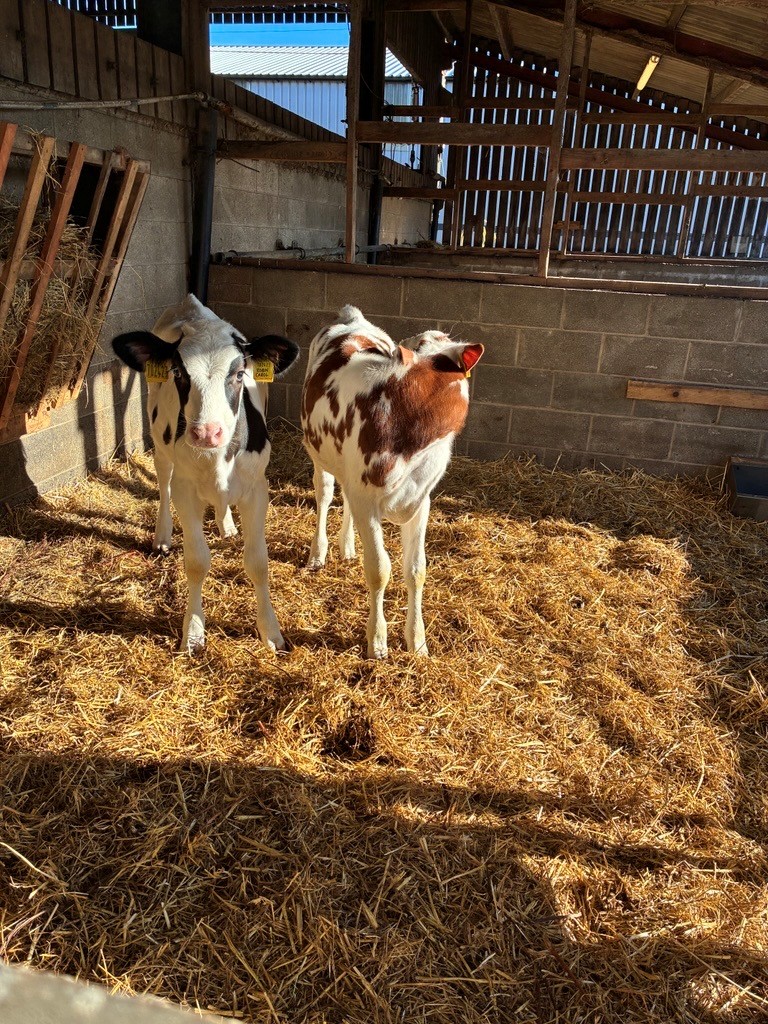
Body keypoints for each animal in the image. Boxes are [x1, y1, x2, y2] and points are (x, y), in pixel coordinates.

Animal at [112, 294, 299, 653]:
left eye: (239, 373)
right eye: (178, 372)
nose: (206, 433)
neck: (217, 459)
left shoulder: (257, 489)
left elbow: (258, 562)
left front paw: (270, 631)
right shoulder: (186, 491)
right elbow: (197, 562)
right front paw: (194, 631)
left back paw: (226, 525)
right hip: (159, 440)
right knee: (163, 482)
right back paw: (162, 536)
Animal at [301, 305, 483, 659]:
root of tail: (351, 317)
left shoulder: (420, 500)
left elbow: (416, 571)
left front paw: (417, 641)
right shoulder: (367, 499)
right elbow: (379, 569)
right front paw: (377, 641)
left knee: (344, 498)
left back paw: (346, 547)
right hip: (318, 451)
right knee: (326, 494)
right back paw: (319, 553)